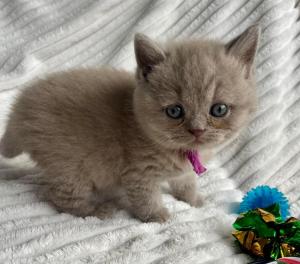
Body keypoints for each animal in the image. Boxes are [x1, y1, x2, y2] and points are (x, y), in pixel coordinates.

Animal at [0, 25, 260, 223]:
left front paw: (193, 200)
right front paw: (158, 216)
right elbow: (146, 198)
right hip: (70, 166)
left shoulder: (181, 171)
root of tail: (20, 110)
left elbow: (185, 182)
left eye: (219, 109)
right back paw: (97, 211)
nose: (197, 130)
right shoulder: (138, 172)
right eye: (175, 111)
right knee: (61, 197)